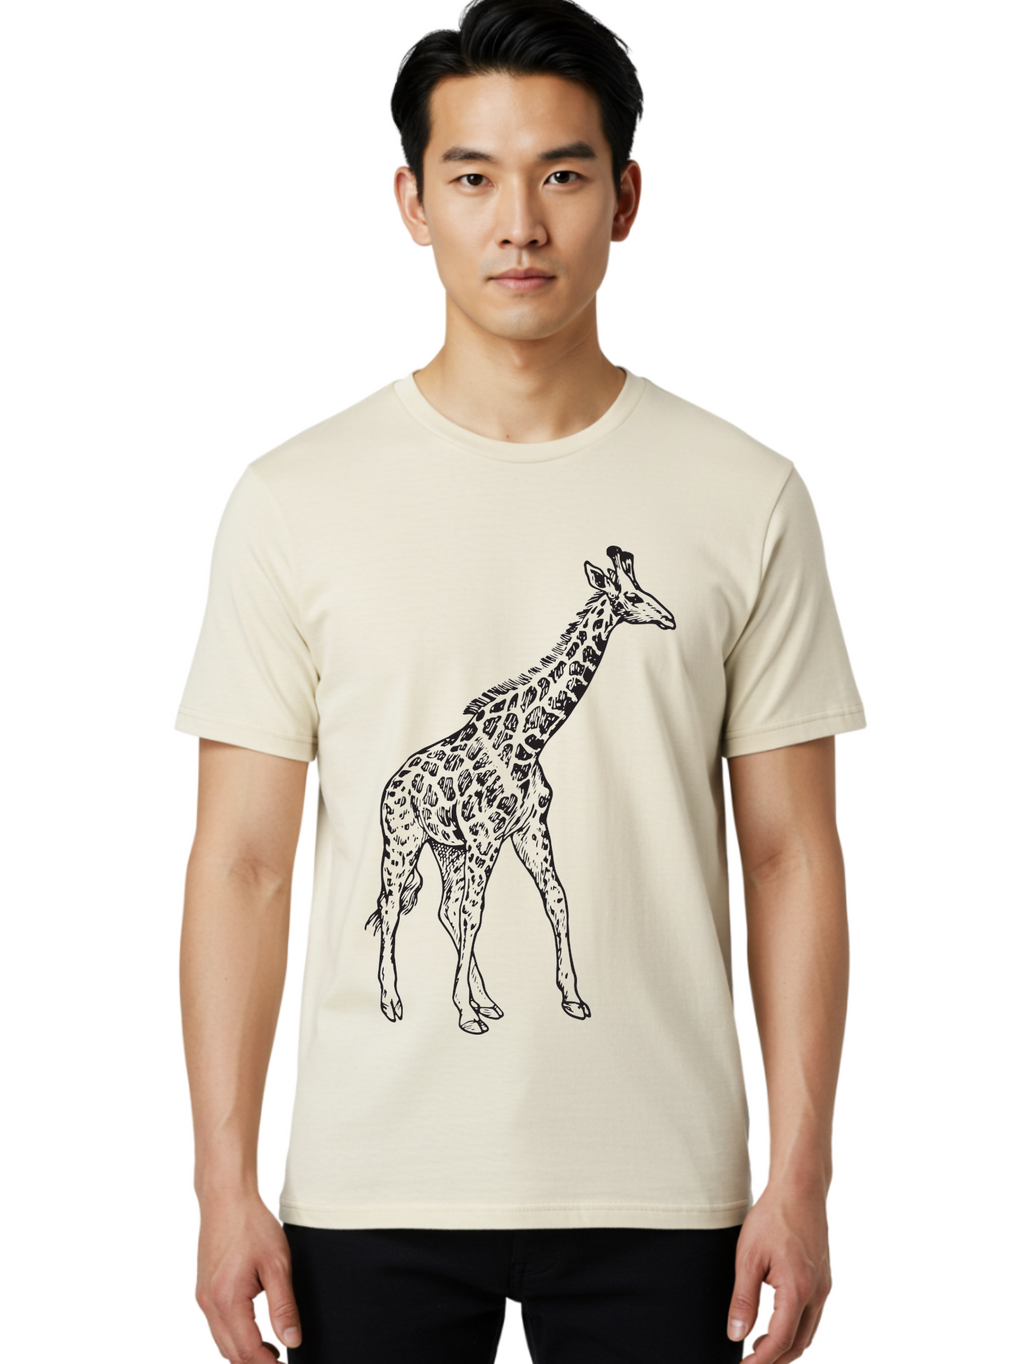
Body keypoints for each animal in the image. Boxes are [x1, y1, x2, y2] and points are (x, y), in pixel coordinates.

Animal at [365, 545, 676, 1035]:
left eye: (643, 589)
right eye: (630, 596)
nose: (669, 618)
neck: (531, 741)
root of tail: (391, 784)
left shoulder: (529, 830)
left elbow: (557, 900)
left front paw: (571, 998)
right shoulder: (486, 837)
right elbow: (475, 913)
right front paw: (464, 1014)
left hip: (446, 848)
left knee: (445, 908)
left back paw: (486, 1000)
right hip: (403, 841)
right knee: (394, 907)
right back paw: (393, 1002)